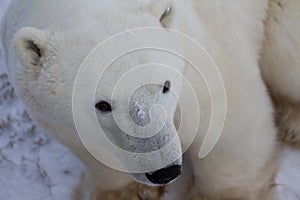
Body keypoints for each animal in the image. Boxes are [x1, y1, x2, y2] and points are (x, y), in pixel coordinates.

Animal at [1, 0, 284, 199]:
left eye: (165, 86)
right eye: (103, 105)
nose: (165, 171)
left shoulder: (202, 50)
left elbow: (230, 123)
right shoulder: (49, 114)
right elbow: (93, 150)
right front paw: (120, 193)